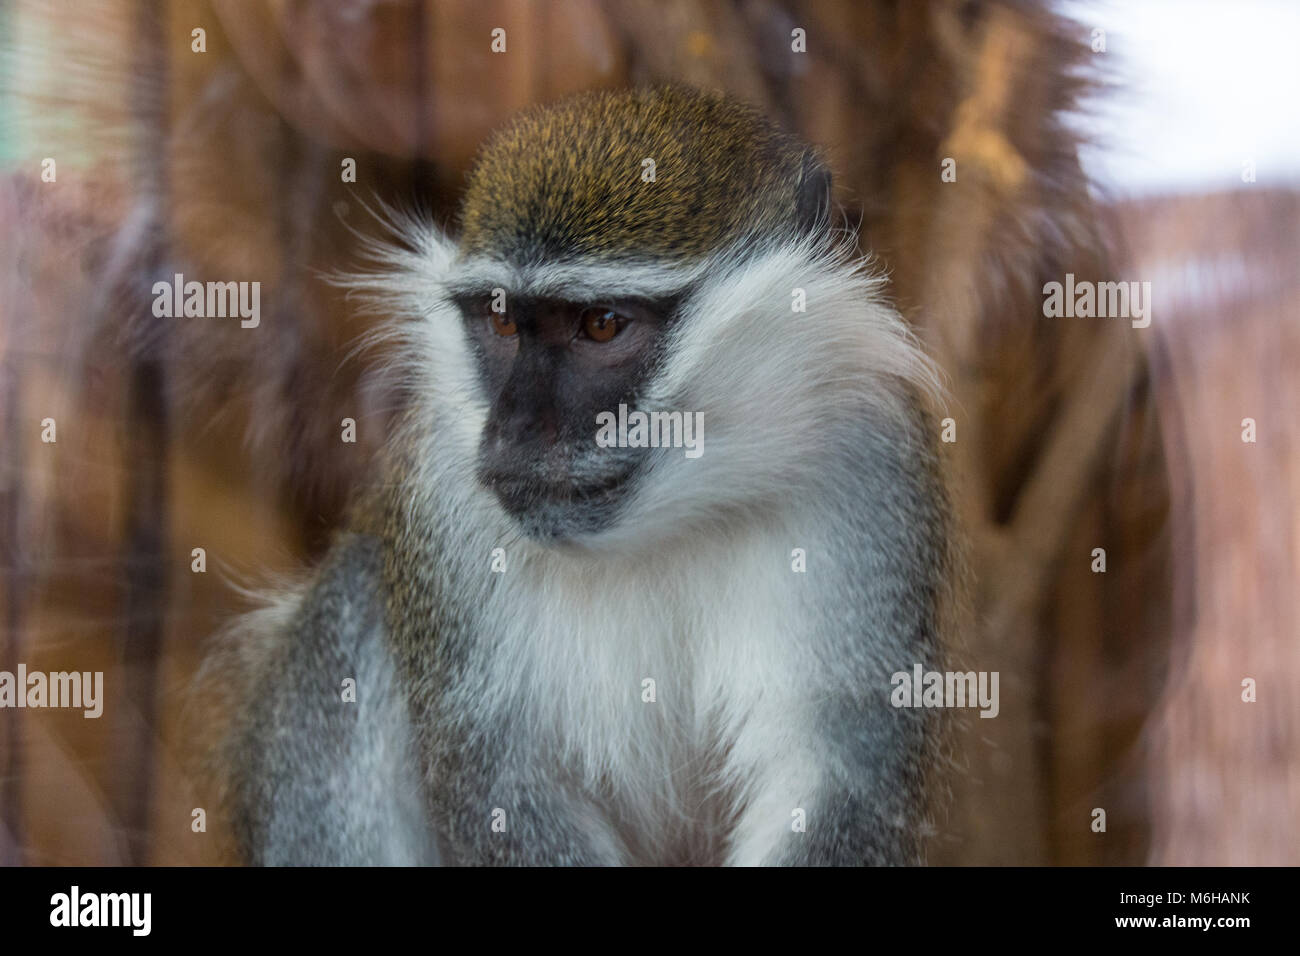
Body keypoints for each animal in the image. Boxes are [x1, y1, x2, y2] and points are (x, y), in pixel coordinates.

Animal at [208, 83, 961, 868]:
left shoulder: (872, 465)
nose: (511, 429)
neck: (674, 518)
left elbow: (837, 778)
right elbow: (504, 788)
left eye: (601, 324)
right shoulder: (442, 499)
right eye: (503, 323)